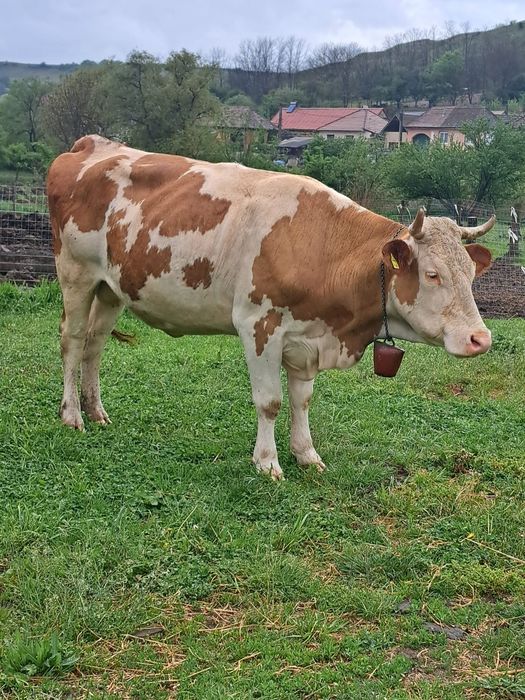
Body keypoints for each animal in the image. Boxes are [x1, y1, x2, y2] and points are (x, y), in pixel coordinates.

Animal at [47, 135, 494, 480]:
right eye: (433, 274)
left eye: (471, 273)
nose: (481, 339)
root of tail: (92, 144)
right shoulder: (258, 326)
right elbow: (270, 401)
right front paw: (267, 463)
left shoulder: (306, 338)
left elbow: (302, 400)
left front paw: (306, 454)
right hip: (75, 274)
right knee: (72, 341)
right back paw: (72, 415)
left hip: (110, 288)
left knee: (94, 345)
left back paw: (97, 411)